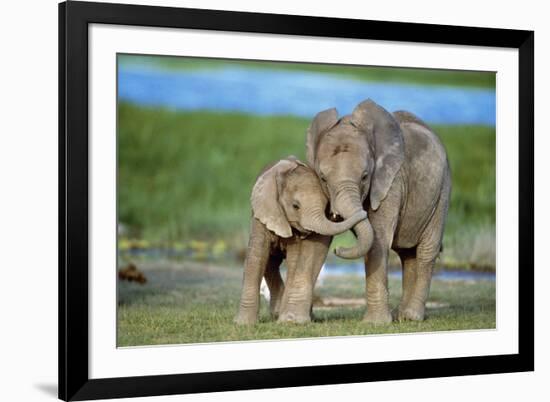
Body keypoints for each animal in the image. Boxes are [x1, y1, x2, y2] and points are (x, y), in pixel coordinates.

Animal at [234, 155, 366, 326]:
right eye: (295, 206)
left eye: (326, 206)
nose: (337, 249)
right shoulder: (263, 214)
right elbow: (257, 256)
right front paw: (243, 323)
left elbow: (295, 259)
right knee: (270, 262)